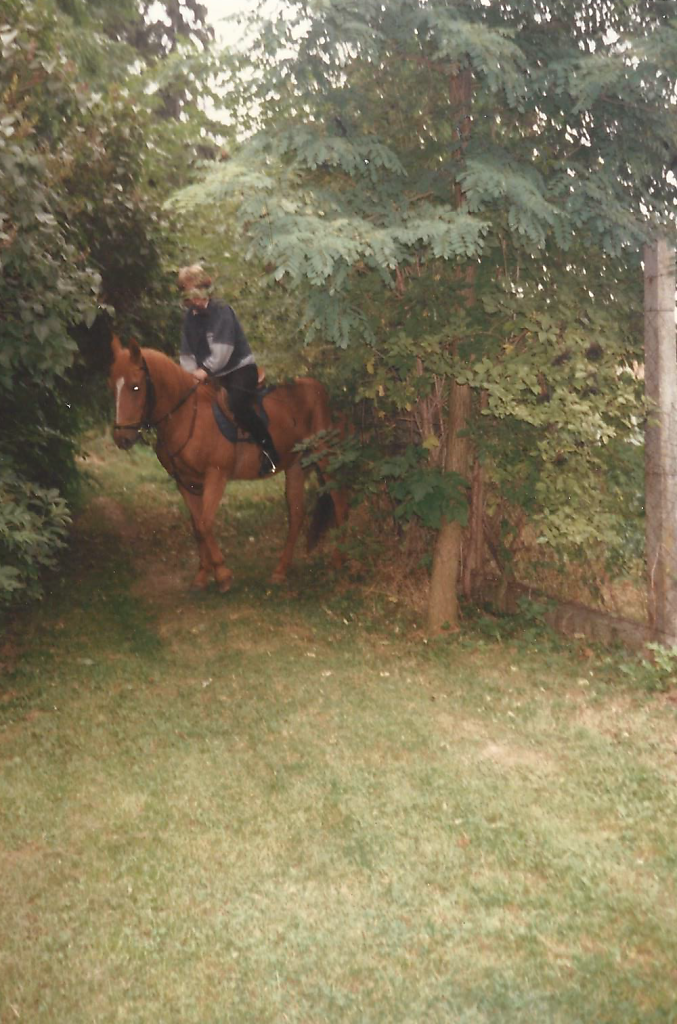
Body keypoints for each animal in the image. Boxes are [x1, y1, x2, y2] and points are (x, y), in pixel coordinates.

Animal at [109, 335, 348, 593]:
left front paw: (222, 574)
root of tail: (317, 387)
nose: (122, 438)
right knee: (296, 515)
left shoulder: (216, 474)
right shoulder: (186, 483)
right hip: (295, 466)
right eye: (112, 387)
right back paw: (281, 570)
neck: (186, 416)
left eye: (135, 386)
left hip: (323, 457)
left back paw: (338, 560)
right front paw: (202, 575)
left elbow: (205, 523)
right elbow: (197, 526)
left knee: (339, 503)